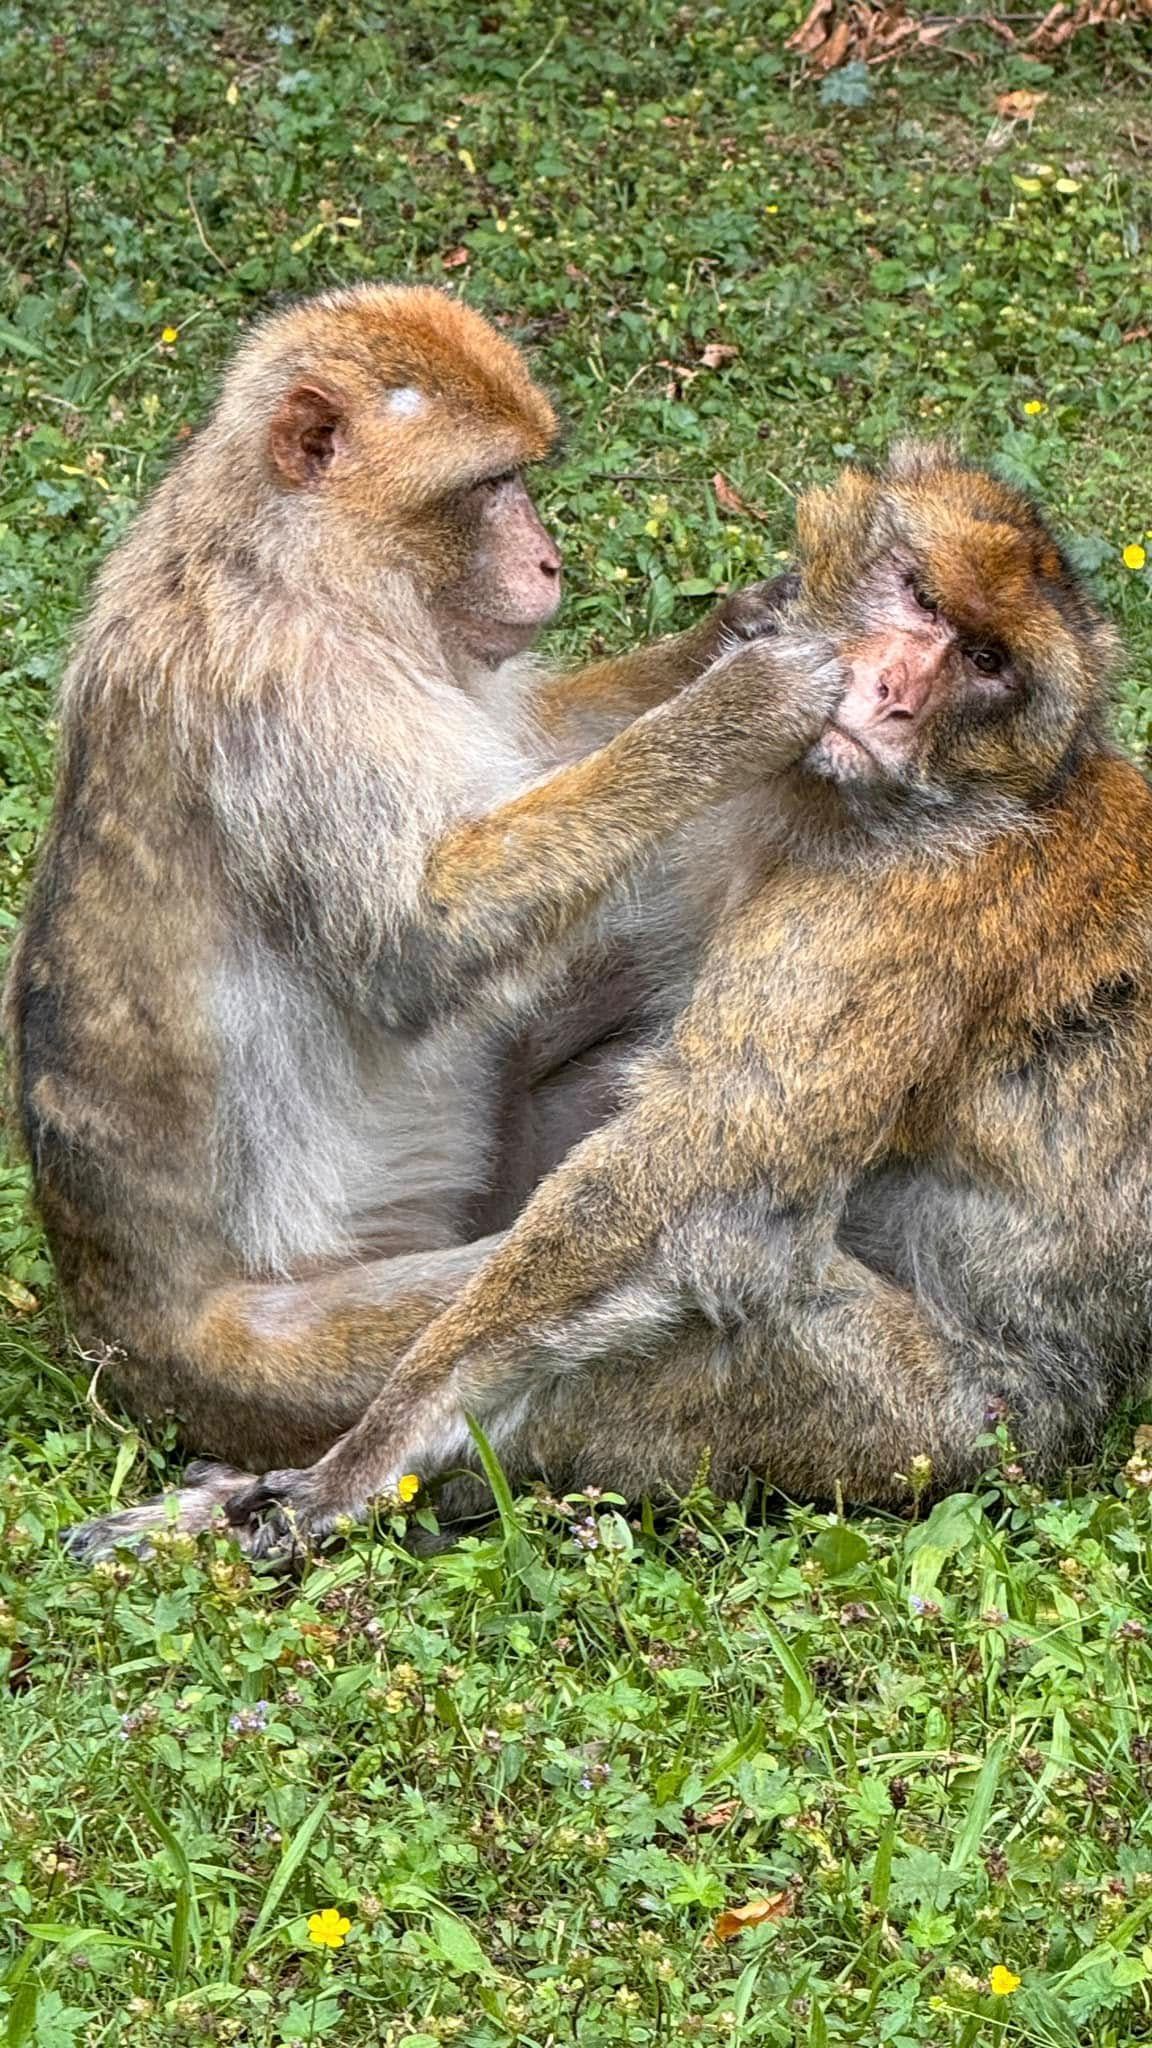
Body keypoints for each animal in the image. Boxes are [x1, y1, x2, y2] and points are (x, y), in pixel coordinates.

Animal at [6, 282, 834, 1558]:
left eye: (524, 477)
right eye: (490, 485)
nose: (547, 558)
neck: (298, 560)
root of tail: (108, 1326)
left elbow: (529, 746)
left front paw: (733, 628)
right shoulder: (292, 690)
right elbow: (418, 940)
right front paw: (735, 708)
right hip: (263, 1359)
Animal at [196, 437, 1152, 1560]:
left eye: (988, 661)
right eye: (919, 594)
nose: (892, 691)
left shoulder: (902, 911)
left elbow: (707, 1173)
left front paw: (374, 1447)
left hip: (938, 1418)